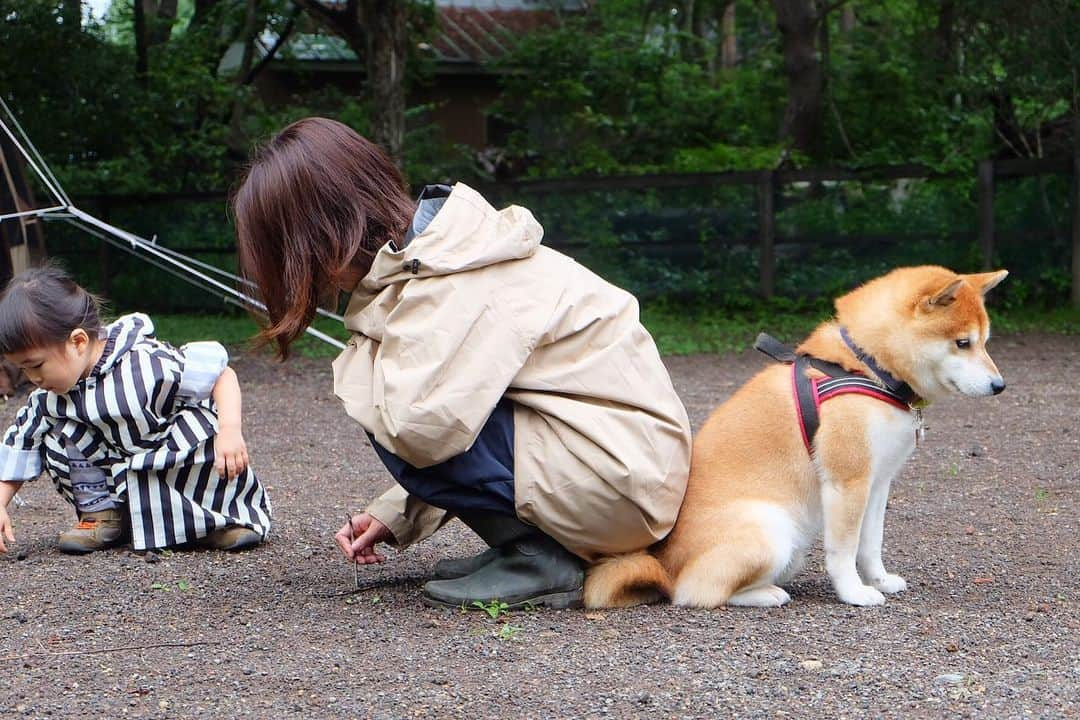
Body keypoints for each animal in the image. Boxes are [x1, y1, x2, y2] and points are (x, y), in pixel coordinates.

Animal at [587, 264, 1006, 608]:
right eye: (963, 343)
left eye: (984, 341)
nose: (1000, 386)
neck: (868, 368)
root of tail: (664, 565)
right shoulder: (847, 483)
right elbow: (844, 550)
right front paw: (854, 593)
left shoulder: (877, 482)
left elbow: (871, 545)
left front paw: (880, 581)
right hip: (771, 531)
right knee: (695, 591)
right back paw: (766, 594)